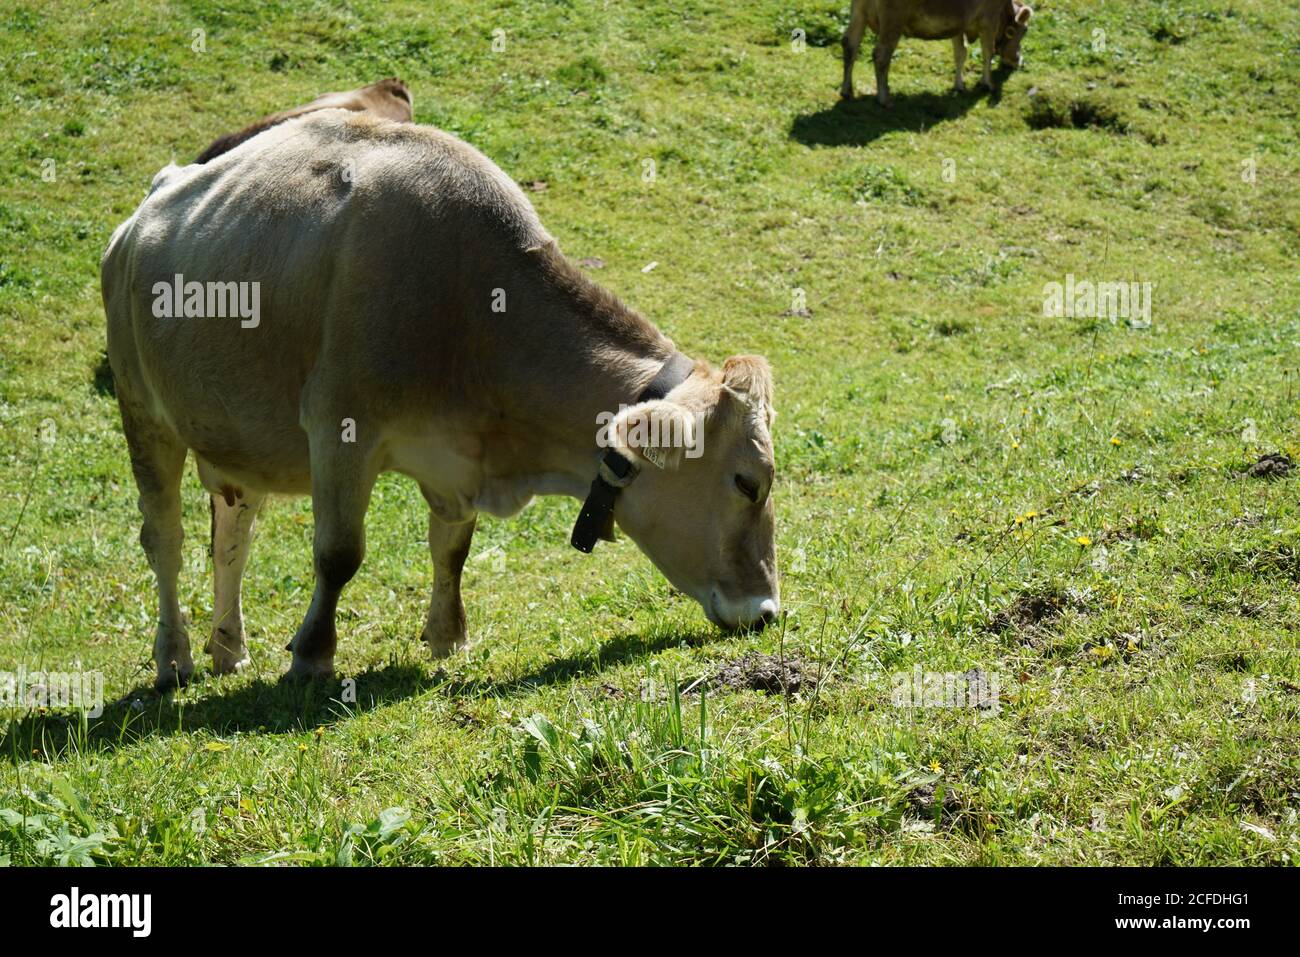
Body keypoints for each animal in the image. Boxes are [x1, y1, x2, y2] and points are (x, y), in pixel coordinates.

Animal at [102, 110, 780, 691]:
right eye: (748, 482)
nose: (769, 609)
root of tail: (152, 201)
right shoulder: (338, 427)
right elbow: (339, 554)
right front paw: (313, 655)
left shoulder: (456, 459)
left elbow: (453, 548)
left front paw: (448, 637)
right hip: (143, 412)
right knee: (164, 540)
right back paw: (174, 658)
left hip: (237, 443)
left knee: (231, 541)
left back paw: (228, 648)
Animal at [840, 0, 1033, 106]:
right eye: (1023, 30)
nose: (1018, 60)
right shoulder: (989, 19)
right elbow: (988, 52)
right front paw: (988, 84)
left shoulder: (958, 24)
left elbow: (960, 53)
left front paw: (959, 85)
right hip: (892, 20)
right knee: (881, 54)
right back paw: (884, 98)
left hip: (859, 12)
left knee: (850, 44)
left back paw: (846, 90)